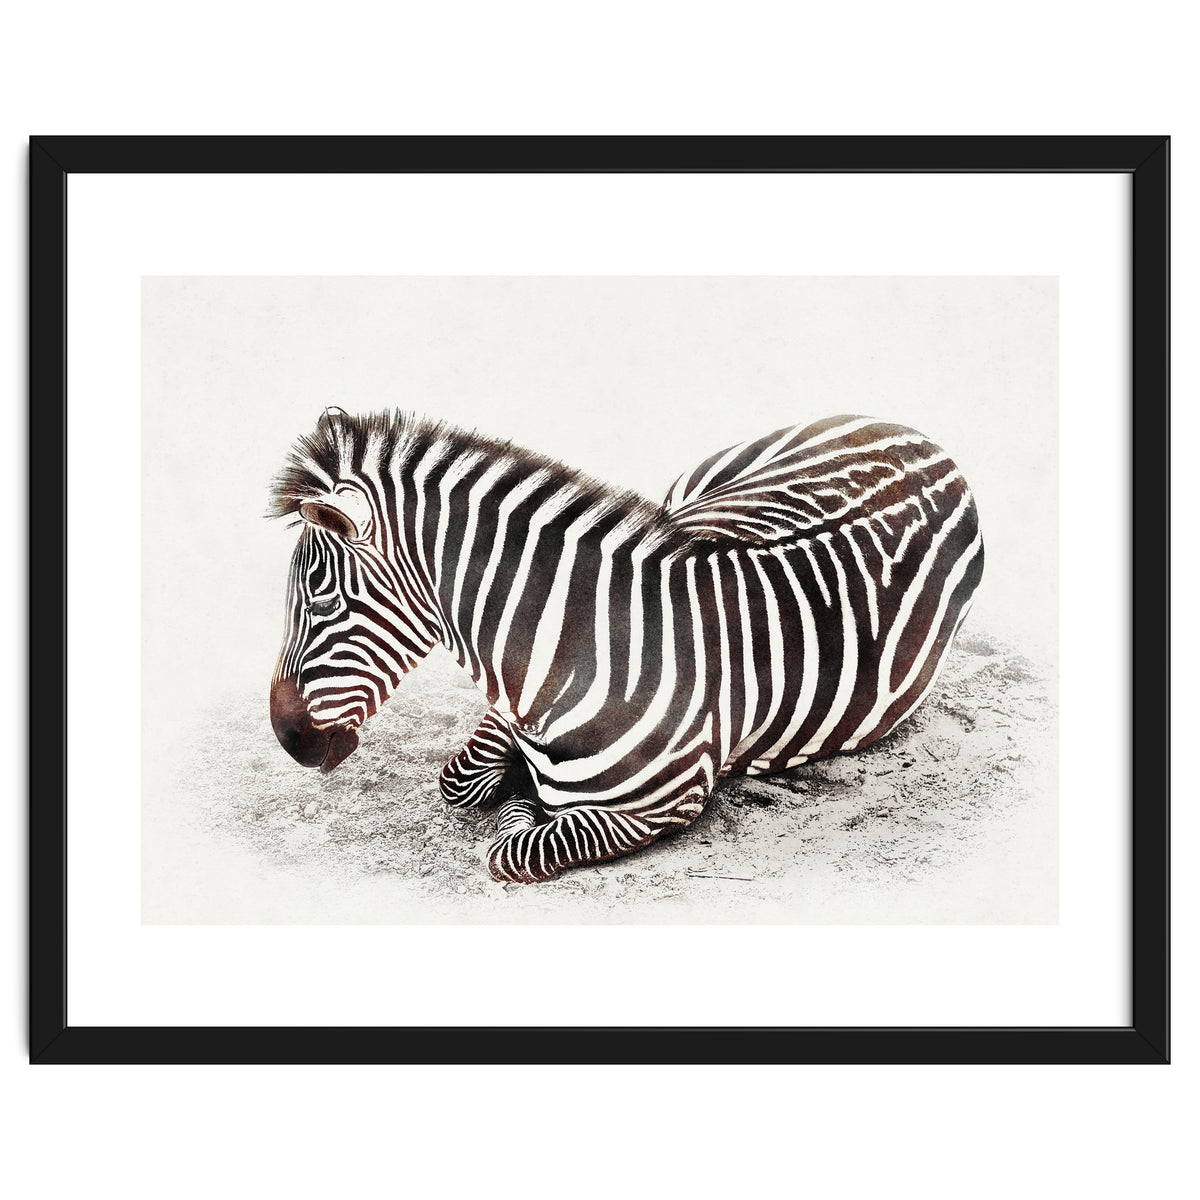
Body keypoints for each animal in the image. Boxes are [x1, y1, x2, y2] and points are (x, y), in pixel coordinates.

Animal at [269, 410, 984, 883]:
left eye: (323, 602)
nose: (287, 738)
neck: (585, 648)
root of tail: (929, 441)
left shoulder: (663, 804)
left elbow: (512, 845)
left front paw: (523, 801)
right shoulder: (507, 708)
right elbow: (461, 782)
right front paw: (514, 782)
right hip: (690, 492)